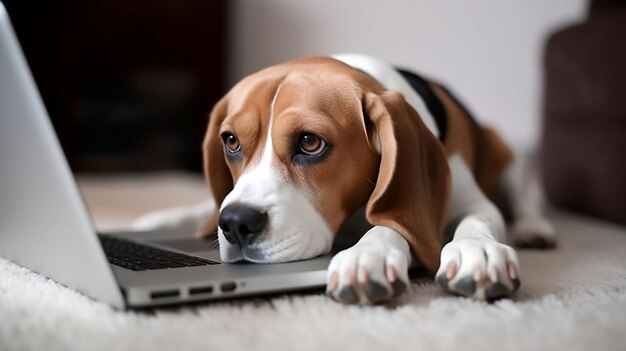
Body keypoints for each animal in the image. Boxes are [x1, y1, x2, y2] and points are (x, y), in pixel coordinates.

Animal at [134, 53, 552, 304]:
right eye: (231, 141)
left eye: (310, 142)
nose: (235, 224)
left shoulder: (472, 201)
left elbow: (460, 220)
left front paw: (474, 251)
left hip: (508, 148)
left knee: (525, 198)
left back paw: (534, 228)